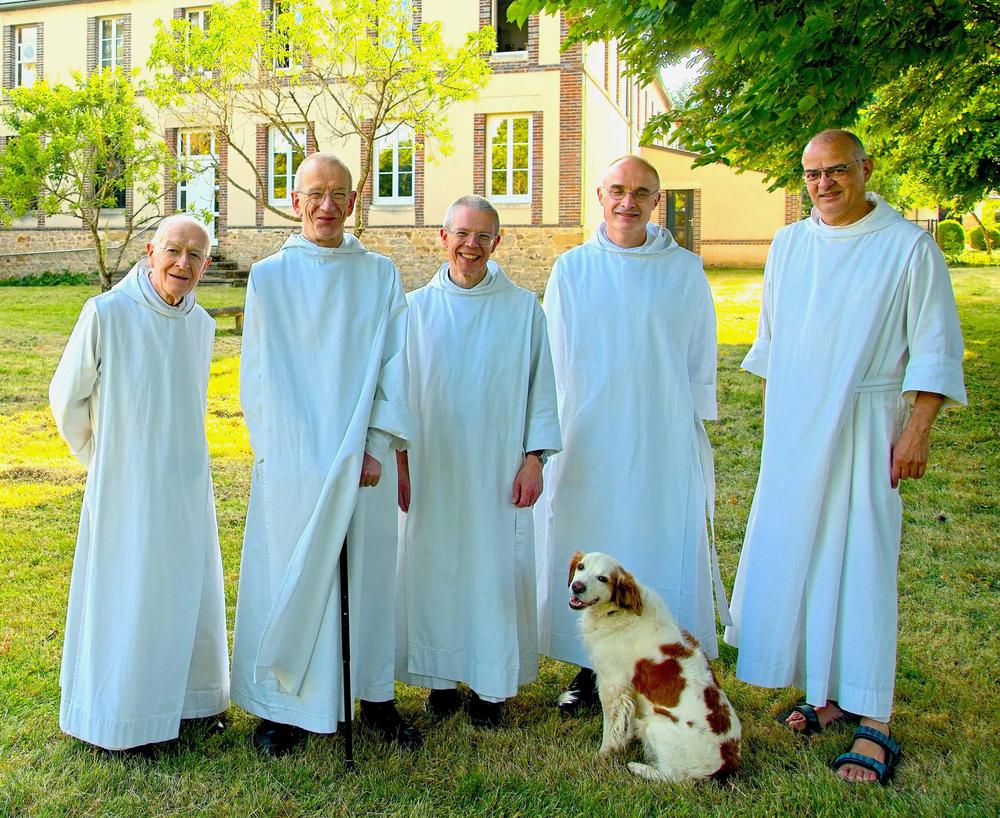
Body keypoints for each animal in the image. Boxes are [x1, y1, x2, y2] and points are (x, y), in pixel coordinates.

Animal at [568, 552, 740, 780]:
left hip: (653, 726)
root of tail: (727, 762)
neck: (618, 611)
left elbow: (611, 727)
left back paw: (639, 767)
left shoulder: (612, 686)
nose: (576, 586)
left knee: (672, 777)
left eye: (602, 578)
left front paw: (603, 754)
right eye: (581, 566)